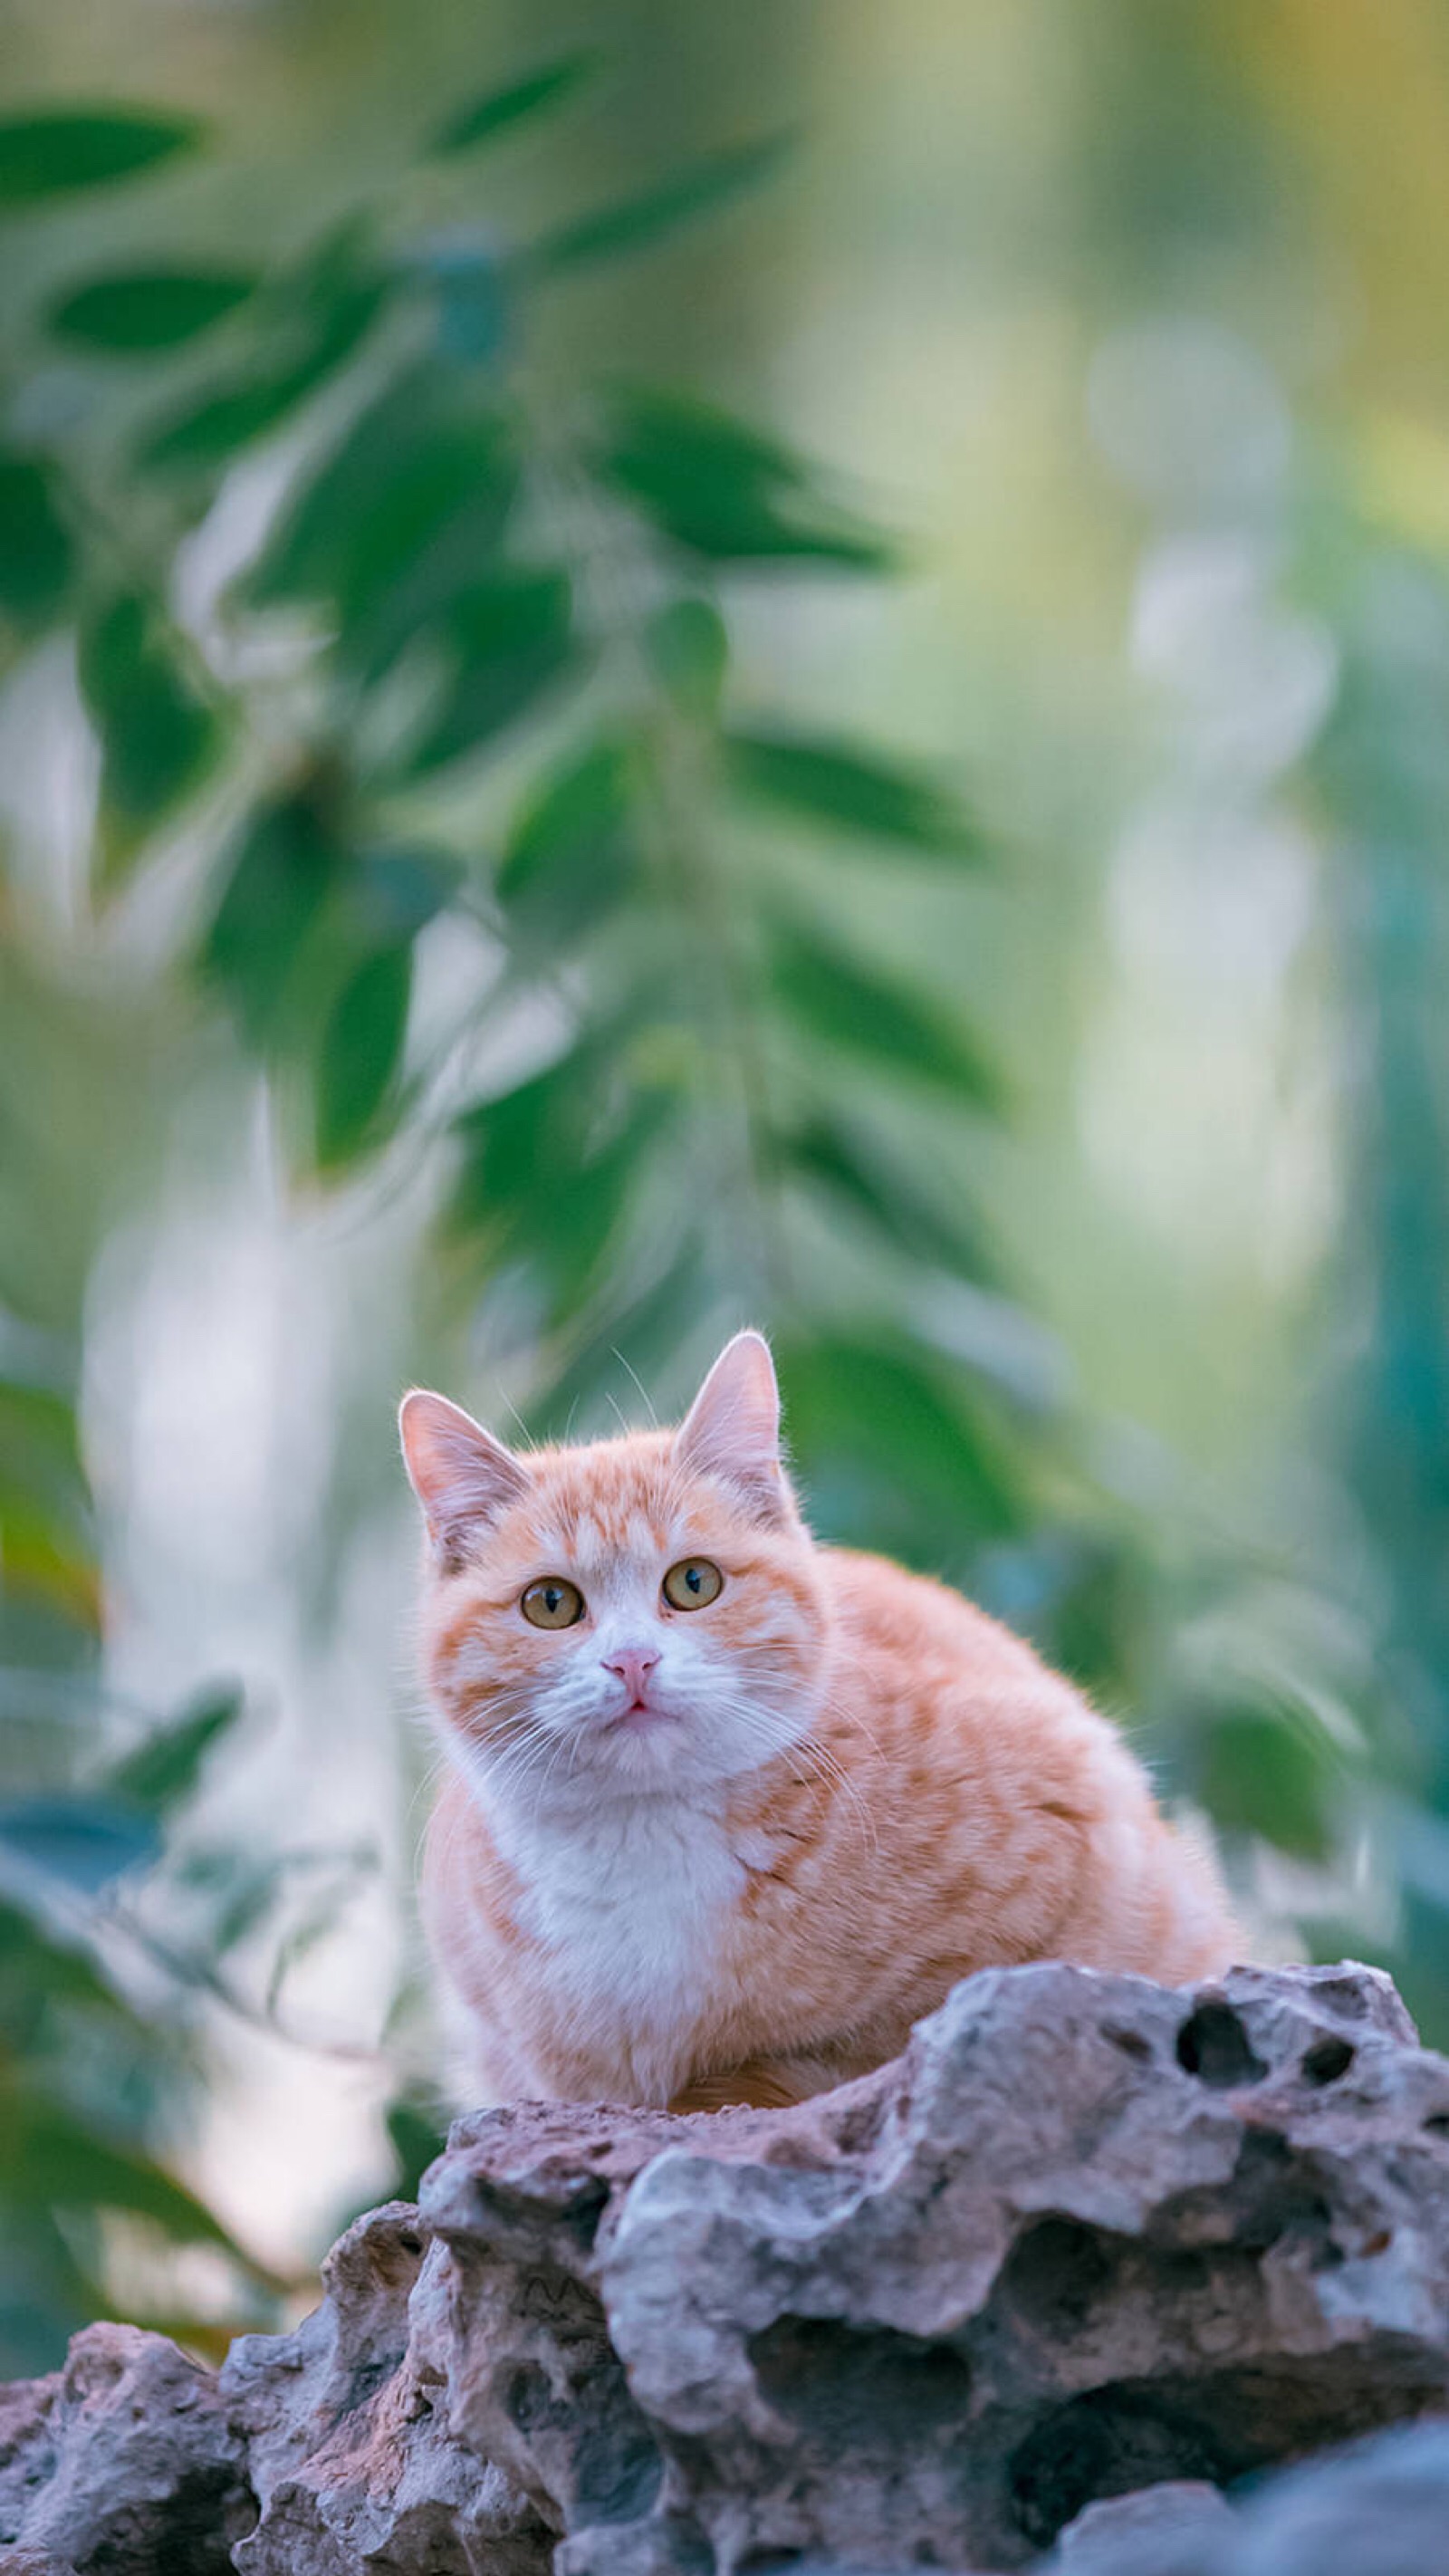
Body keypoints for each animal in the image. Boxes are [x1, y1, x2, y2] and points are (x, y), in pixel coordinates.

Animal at [401, 1329, 1240, 2112]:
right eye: (551, 1603)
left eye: (694, 1583)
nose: (632, 1662)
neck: (642, 1837)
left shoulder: (1059, 1857)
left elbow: (867, 2045)